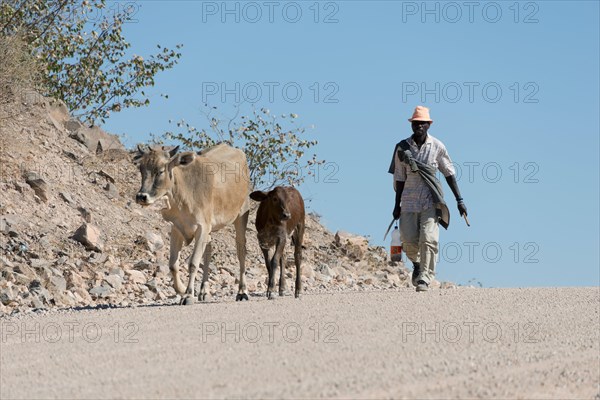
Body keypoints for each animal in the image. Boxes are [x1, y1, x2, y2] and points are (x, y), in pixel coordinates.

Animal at [135, 145, 250, 304]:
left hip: (241, 215)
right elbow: (173, 264)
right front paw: (182, 289)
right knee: (208, 251)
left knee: (241, 251)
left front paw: (188, 295)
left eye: (161, 170)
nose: (141, 197)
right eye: (141, 169)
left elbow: (193, 263)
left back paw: (242, 292)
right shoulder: (177, 228)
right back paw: (204, 291)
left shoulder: (202, 227)